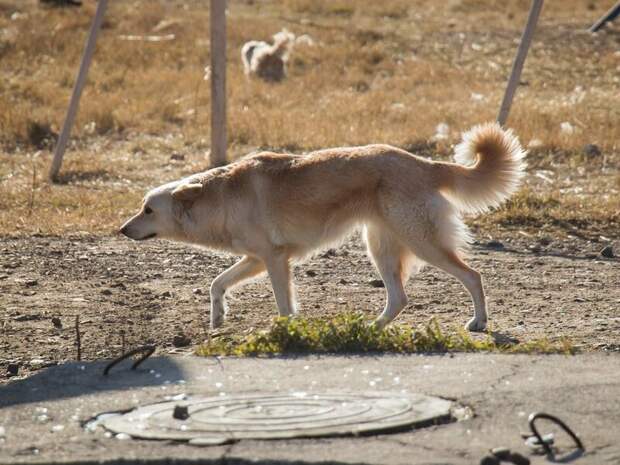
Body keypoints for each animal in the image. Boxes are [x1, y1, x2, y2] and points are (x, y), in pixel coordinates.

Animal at [120, 124, 524, 330]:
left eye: (148, 210)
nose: (123, 230)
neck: (219, 197)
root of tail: (424, 164)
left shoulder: (274, 260)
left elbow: (283, 303)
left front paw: (286, 331)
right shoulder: (257, 259)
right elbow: (217, 283)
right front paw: (218, 316)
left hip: (422, 242)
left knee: (472, 276)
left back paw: (478, 322)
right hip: (381, 249)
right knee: (399, 298)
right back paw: (371, 328)